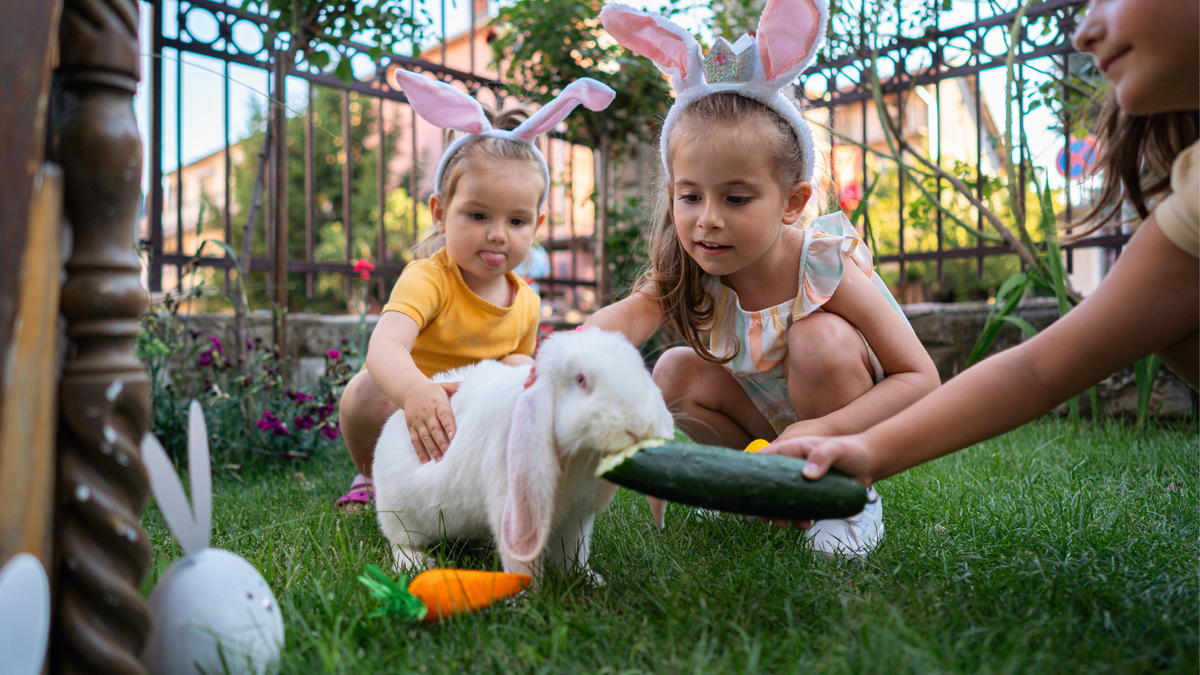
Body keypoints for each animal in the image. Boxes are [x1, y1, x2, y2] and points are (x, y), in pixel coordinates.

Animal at [372, 326, 676, 583]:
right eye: (580, 380)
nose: (638, 425)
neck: (577, 459)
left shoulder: (576, 518)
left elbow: (573, 554)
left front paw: (588, 581)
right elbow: (523, 564)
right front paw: (526, 597)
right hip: (399, 514)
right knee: (401, 543)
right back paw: (418, 564)